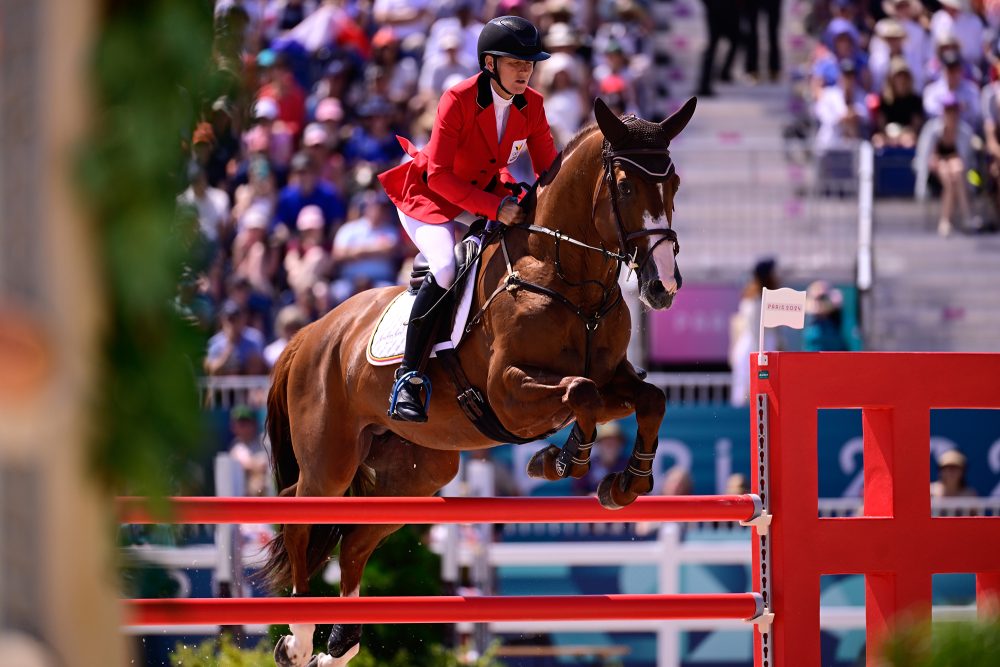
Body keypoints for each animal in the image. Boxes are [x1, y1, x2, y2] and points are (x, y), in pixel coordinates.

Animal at [262, 96, 696, 664]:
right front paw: (561, 459)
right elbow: (580, 393)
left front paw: (627, 483)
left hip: (418, 474)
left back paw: (341, 642)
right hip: (329, 461)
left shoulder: (614, 378)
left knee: (355, 539)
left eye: (675, 184)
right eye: (624, 187)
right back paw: (298, 635)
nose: (663, 287)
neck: (567, 278)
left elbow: (649, 399)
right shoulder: (510, 393)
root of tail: (308, 334)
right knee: (300, 515)